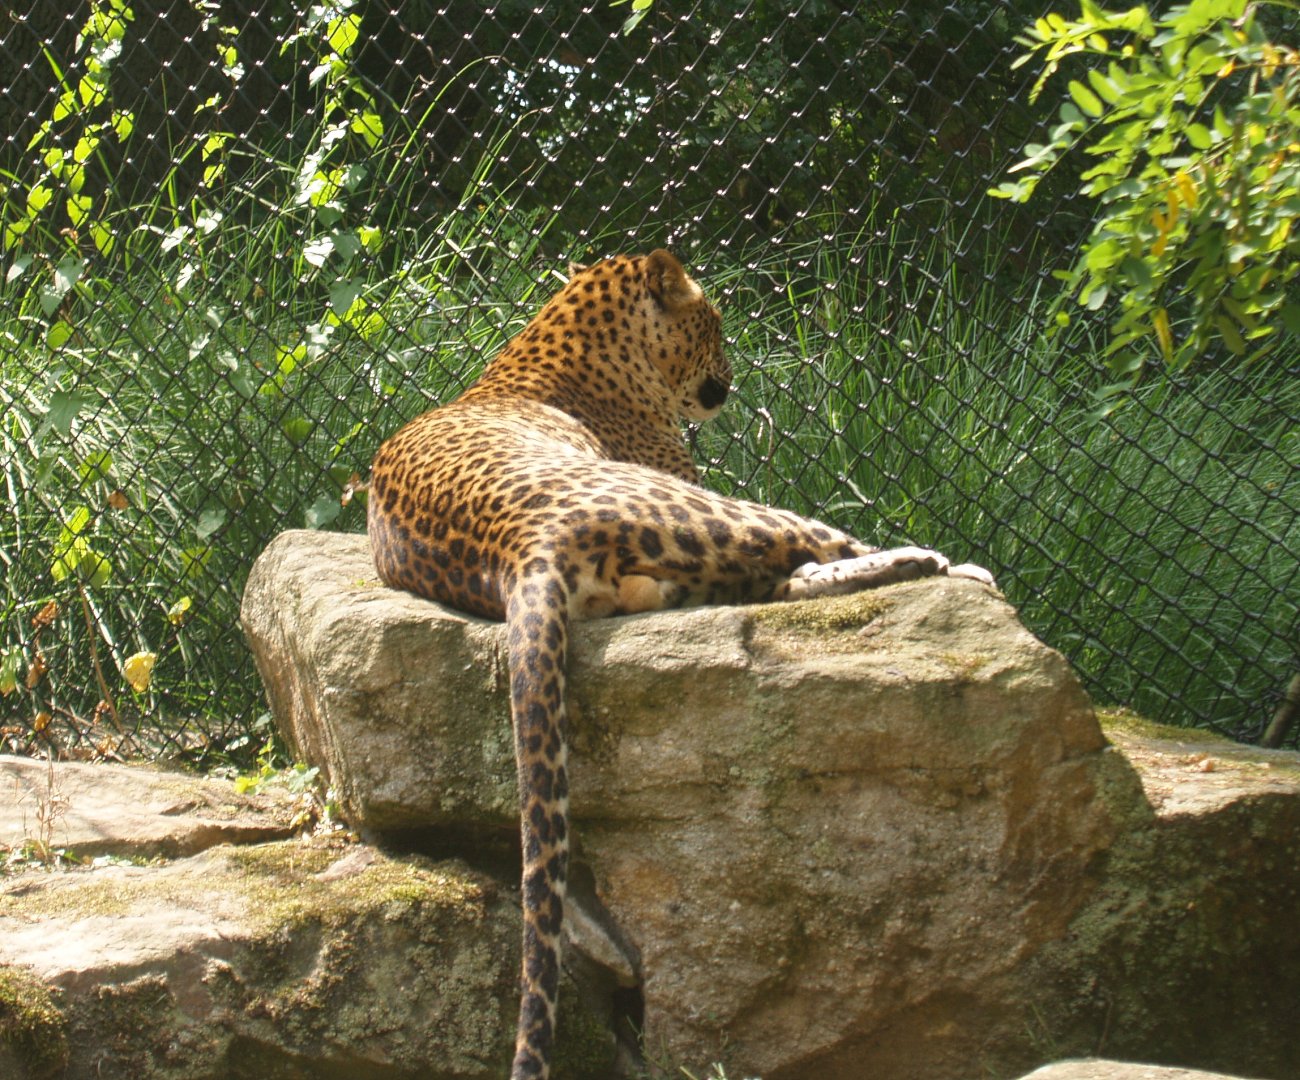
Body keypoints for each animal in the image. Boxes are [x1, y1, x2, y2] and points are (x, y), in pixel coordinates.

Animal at [367, 249, 994, 1079]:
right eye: (715, 323)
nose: (732, 372)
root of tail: (519, 547)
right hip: (712, 510)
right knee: (819, 549)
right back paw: (945, 565)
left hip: (682, 563)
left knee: (786, 578)